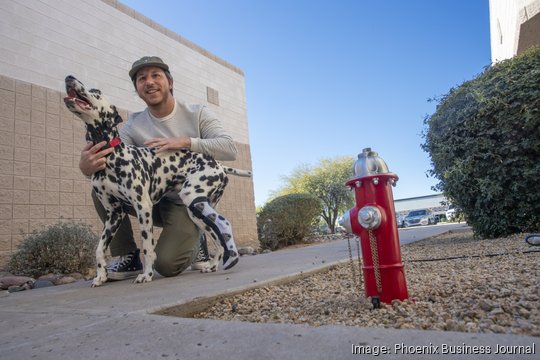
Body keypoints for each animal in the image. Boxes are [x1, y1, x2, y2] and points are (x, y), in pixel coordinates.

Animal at [62, 75, 252, 286]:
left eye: (96, 91)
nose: (69, 77)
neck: (111, 155)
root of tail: (218, 164)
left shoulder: (143, 207)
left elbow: (147, 247)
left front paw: (146, 274)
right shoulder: (114, 213)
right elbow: (99, 249)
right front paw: (101, 275)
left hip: (192, 198)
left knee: (224, 224)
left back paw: (231, 258)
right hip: (196, 212)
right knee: (216, 236)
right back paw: (212, 265)